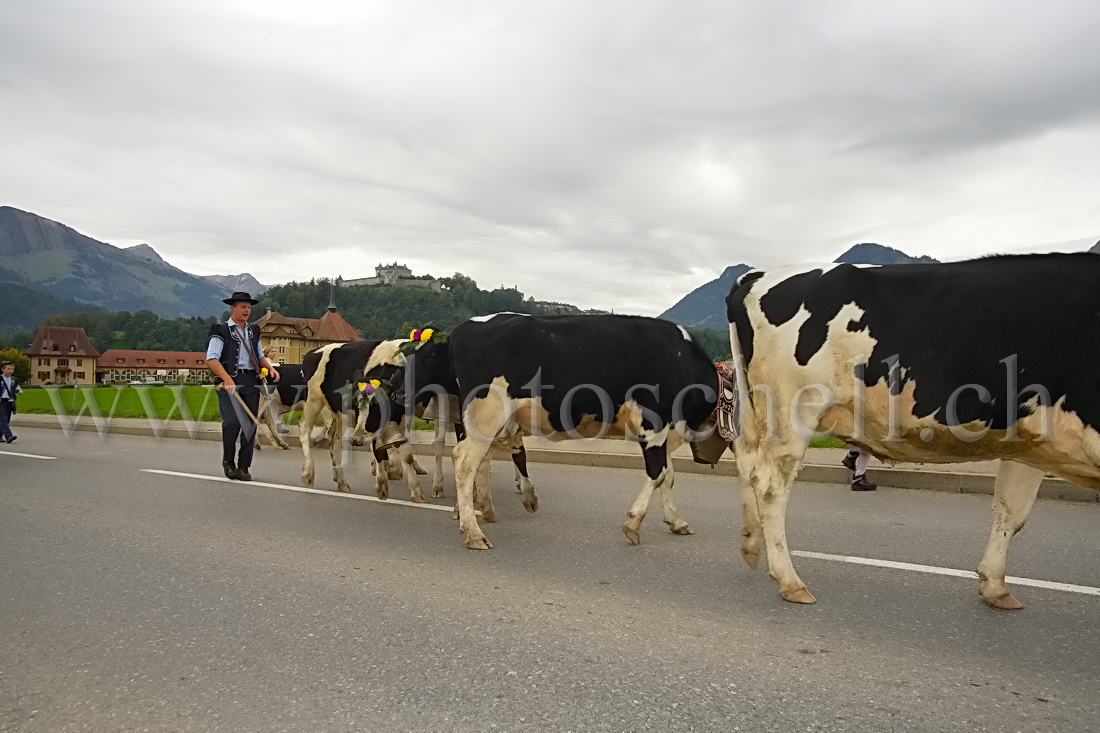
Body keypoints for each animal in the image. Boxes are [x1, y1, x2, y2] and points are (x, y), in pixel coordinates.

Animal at [437, 312, 730, 548]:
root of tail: (464, 327)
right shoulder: (653, 422)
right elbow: (657, 474)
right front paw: (633, 525)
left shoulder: (666, 431)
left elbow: (668, 476)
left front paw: (677, 521)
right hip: (488, 412)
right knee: (465, 461)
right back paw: (474, 533)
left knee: (478, 461)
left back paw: (485, 512)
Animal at [726, 250, 1100, 603]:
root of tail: (756, 274)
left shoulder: (1027, 442)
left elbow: (1011, 512)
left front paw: (994, 585)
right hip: (794, 407)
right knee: (771, 484)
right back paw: (789, 580)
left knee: (746, 460)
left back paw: (751, 545)